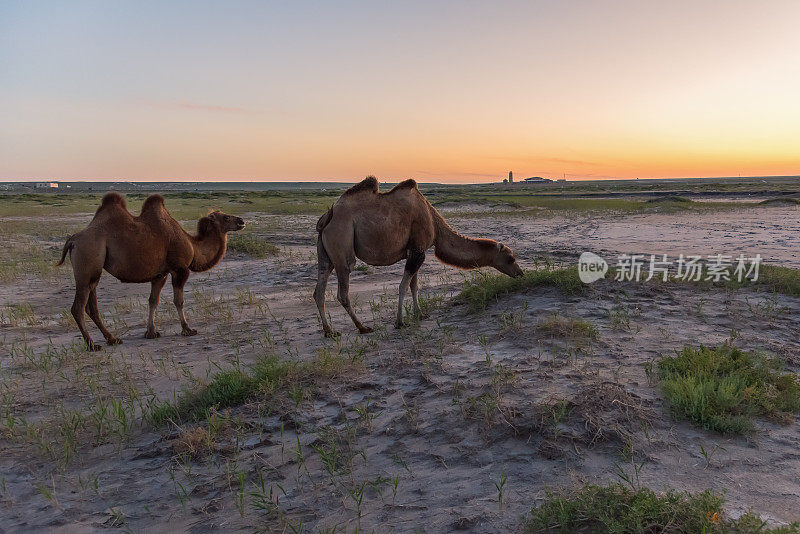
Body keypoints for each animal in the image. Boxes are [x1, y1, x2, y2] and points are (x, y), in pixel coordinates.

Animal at [55, 193, 244, 352]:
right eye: (226, 217)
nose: (241, 221)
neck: (192, 245)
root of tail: (73, 240)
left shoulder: (160, 274)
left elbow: (153, 301)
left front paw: (151, 332)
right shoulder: (180, 269)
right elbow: (179, 301)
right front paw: (187, 329)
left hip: (93, 272)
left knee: (91, 306)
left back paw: (112, 339)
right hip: (87, 263)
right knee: (78, 308)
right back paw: (92, 345)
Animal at [312, 178, 524, 338]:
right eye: (510, 258)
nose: (521, 273)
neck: (434, 222)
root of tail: (327, 217)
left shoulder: (414, 251)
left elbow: (414, 285)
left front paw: (419, 314)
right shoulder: (418, 251)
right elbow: (404, 286)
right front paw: (399, 322)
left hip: (325, 253)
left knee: (319, 289)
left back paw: (329, 331)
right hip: (342, 242)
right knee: (343, 288)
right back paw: (362, 327)